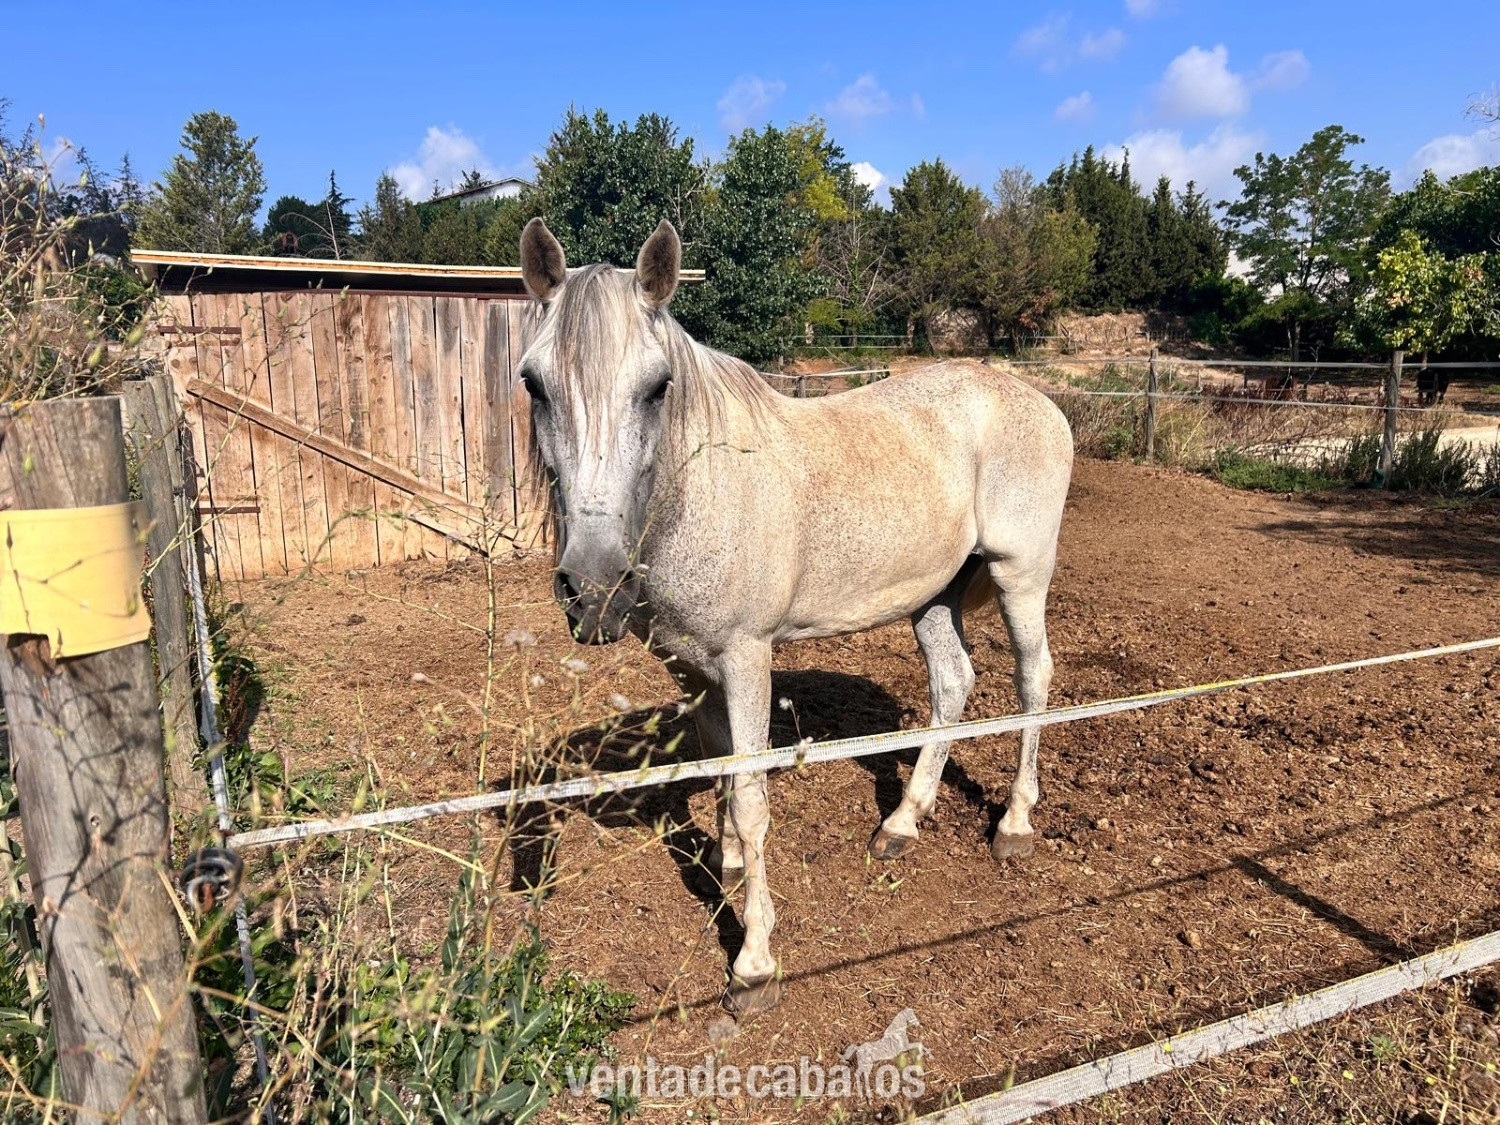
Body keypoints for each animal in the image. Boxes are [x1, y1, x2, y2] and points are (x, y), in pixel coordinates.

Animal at [516, 218, 1073, 1016]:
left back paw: (1015, 822)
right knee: (952, 684)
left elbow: (752, 797)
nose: (593, 588)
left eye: (657, 387)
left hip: (1019, 575)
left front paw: (753, 960)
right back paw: (903, 822)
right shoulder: (692, 667)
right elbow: (722, 769)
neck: (705, 484)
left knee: (1033, 679)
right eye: (534, 383)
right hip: (934, 595)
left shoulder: (748, 657)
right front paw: (726, 863)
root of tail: (1037, 399)